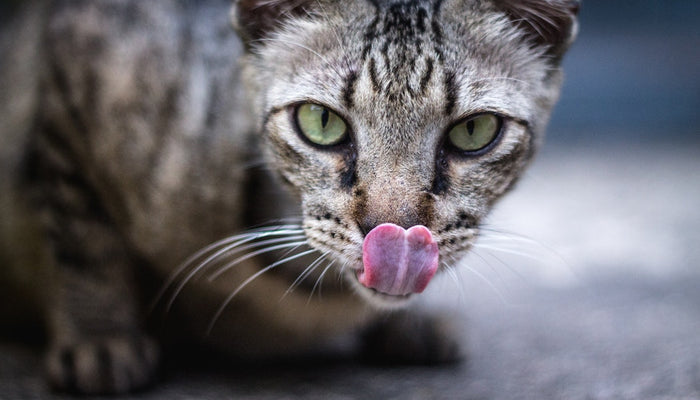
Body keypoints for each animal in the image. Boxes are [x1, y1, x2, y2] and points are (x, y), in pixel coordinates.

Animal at [0, 0, 580, 396]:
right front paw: (101, 337)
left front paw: (408, 325)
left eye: (474, 131)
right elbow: (83, 238)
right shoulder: (72, 73)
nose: (395, 232)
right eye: (320, 122)